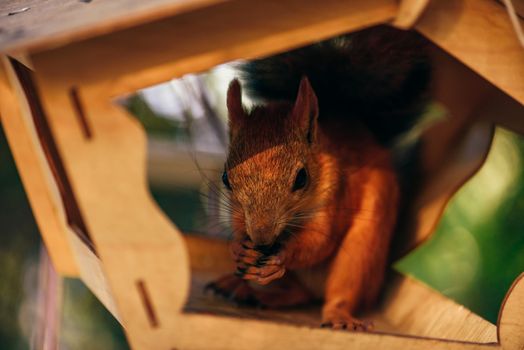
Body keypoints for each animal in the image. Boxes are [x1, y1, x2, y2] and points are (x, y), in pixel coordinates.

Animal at [205, 25, 430, 330]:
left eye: (301, 178)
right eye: (226, 178)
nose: (262, 240)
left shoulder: (338, 194)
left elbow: (319, 243)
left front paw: (283, 254)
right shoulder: (241, 213)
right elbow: (240, 227)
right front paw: (239, 247)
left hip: (362, 254)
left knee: (339, 292)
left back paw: (340, 317)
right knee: (295, 292)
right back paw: (244, 289)